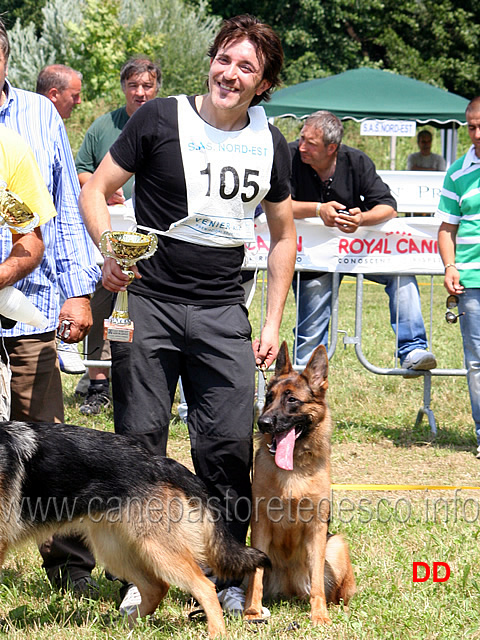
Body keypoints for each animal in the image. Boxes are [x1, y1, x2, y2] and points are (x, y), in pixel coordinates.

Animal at [0, 420, 270, 636]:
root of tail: (158, 462)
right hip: (116, 550)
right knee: (156, 588)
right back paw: (126, 626)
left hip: (157, 551)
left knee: (204, 586)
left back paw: (216, 632)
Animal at [246, 342, 354, 628]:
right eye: (268, 397)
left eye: (292, 400)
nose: (263, 423)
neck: (292, 468)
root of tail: (290, 589)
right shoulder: (261, 524)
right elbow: (256, 576)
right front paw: (252, 611)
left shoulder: (317, 527)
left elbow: (317, 580)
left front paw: (319, 614)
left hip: (336, 545)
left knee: (335, 593)